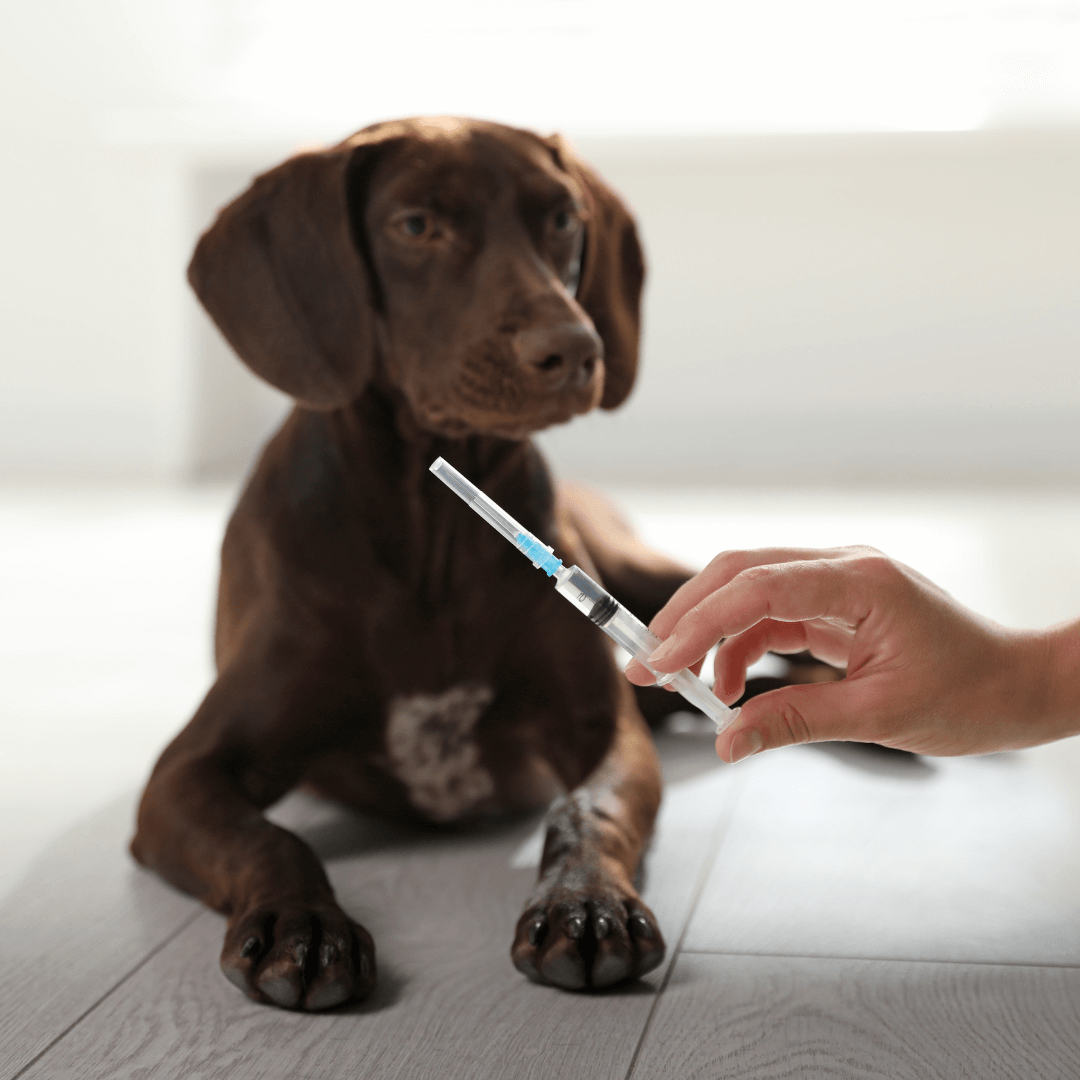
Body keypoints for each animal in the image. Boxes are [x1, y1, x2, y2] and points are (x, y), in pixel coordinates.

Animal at [128, 118, 708, 1010]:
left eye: (562, 219)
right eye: (415, 226)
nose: (574, 347)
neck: (434, 534)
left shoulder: (603, 731)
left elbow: (586, 808)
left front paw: (584, 902)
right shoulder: (185, 774)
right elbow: (272, 839)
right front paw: (303, 924)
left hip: (657, 588)